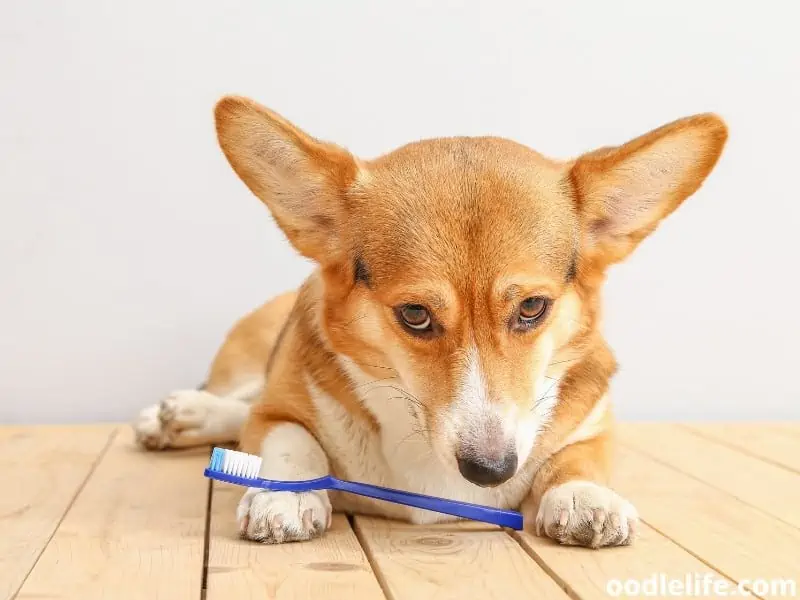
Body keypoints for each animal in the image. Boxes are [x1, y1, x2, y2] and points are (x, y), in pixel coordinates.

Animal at [134, 97, 728, 548]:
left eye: (532, 308)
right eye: (415, 315)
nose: (491, 469)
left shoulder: (595, 426)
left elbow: (578, 459)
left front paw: (586, 498)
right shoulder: (278, 410)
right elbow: (289, 441)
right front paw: (288, 495)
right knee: (237, 402)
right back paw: (178, 414)